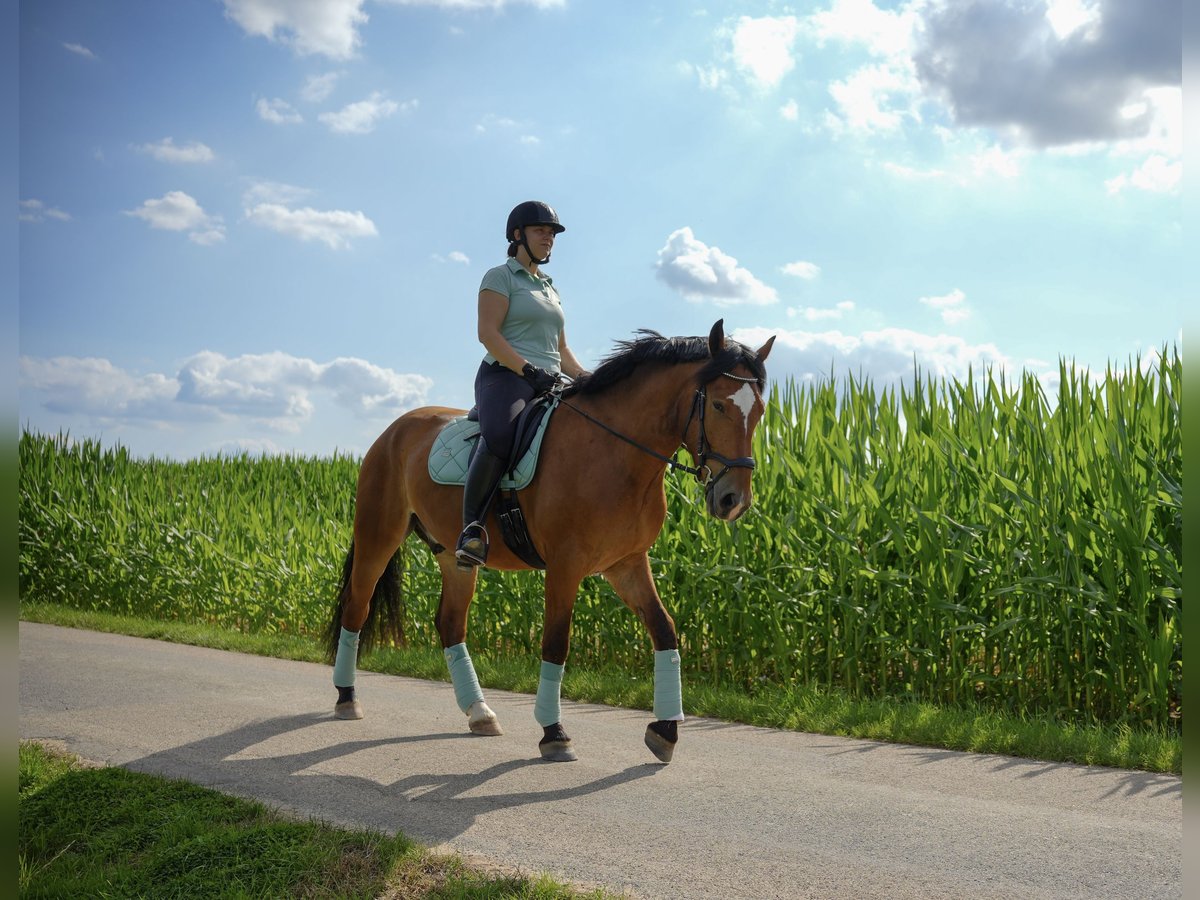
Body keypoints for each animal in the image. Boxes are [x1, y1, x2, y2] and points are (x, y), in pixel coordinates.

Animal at [326, 321, 777, 763]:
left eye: (759, 411)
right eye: (718, 406)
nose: (734, 501)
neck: (614, 454)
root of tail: (393, 430)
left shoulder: (627, 563)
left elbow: (663, 629)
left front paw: (665, 730)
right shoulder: (565, 565)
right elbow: (556, 643)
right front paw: (554, 733)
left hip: (453, 558)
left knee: (450, 623)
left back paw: (480, 712)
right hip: (377, 536)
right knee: (356, 607)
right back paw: (347, 699)